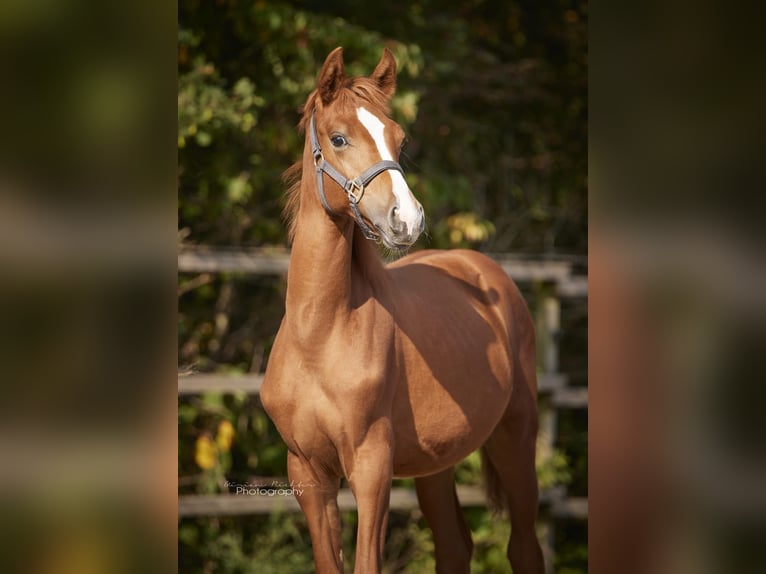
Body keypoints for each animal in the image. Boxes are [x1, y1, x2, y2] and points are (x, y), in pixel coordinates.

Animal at [260, 47, 544, 574]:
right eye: (339, 138)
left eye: (399, 137)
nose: (406, 220)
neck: (320, 337)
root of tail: (483, 271)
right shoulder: (308, 473)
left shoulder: (372, 465)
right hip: (436, 462)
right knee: (454, 545)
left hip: (516, 436)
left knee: (523, 548)